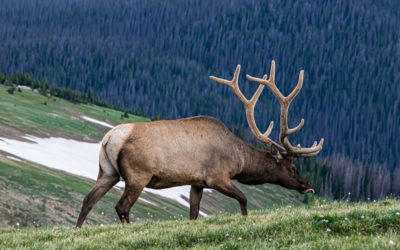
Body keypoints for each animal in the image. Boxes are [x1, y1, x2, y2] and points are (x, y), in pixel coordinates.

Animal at [76, 61, 324, 229]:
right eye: (293, 167)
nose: (308, 185)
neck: (239, 160)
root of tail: (109, 139)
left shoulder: (197, 182)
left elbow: (194, 213)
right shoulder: (217, 177)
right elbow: (243, 199)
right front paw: (245, 219)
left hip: (107, 171)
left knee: (88, 200)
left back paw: (77, 230)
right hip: (138, 174)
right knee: (122, 206)